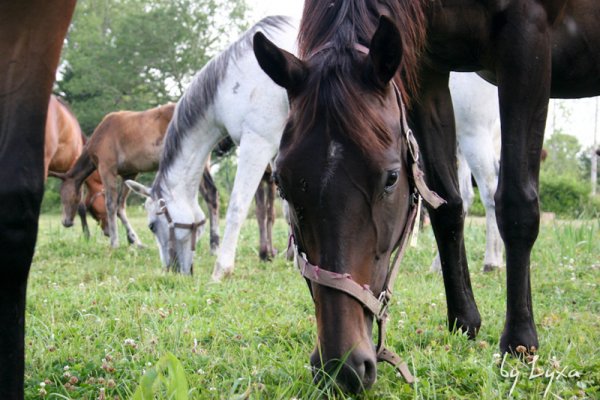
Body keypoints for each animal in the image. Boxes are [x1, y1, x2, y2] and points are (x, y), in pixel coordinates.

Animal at [127, 15, 296, 278]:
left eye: (152, 225)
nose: (172, 269)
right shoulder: (277, 151)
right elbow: (289, 210)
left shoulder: (257, 144)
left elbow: (237, 207)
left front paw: (222, 269)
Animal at [254, 0, 600, 394]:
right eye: (282, 184)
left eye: (391, 178)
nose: (341, 367)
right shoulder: (427, 68)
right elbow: (446, 206)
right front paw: (463, 321)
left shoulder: (526, 38)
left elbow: (516, 204)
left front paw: (520, 341)